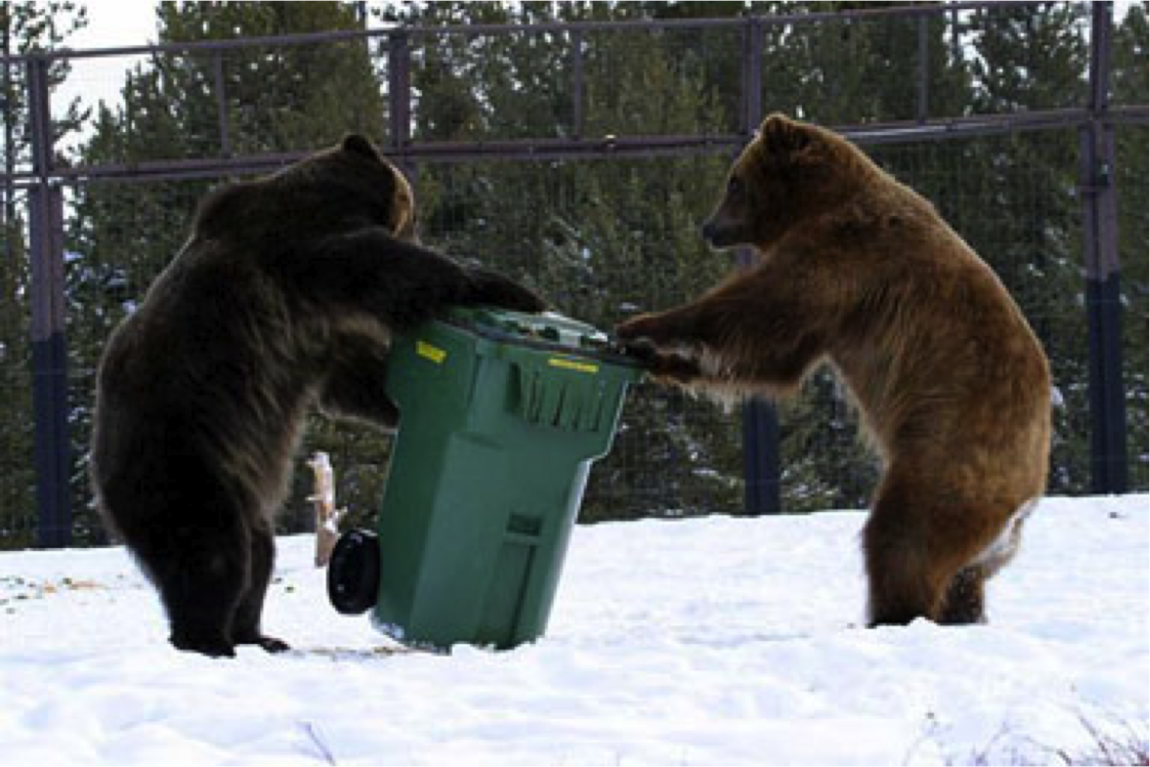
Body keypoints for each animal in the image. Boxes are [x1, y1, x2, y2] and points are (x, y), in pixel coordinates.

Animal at [90, 134, 546, 657]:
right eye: (413, 212)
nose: (420, 229)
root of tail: (98, 472)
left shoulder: (318, 335)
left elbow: (358, 378)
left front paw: (408, 402)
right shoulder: (298, 253)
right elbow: (383, 266)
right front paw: (512, 289)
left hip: (236, 481)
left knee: (259, 552)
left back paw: (258, 635)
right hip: (180, 461)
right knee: (214, 551)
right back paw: (208, 640)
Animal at [616, 114, 1051, 627]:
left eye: (734, 181)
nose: (708, 227)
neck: (814, 203)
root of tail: (1025, 501)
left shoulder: (844, 255)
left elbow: (760, 310)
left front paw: (641, 324)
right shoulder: (833, 306)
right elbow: (774, 358)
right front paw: (653, 353)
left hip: (946, 456)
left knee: (902, 539)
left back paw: (888, 615)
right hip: (979, 526)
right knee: (962, 579)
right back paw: (960, 613)